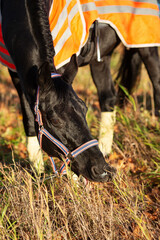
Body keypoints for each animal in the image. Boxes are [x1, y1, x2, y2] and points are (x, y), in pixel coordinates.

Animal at [0, 0, 115, 181]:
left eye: (85, 109)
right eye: (54, 120)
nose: (102, 170)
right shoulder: (16, 72)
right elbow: (29, 119)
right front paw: (38, 172)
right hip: (102, 58)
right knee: (107, 97)